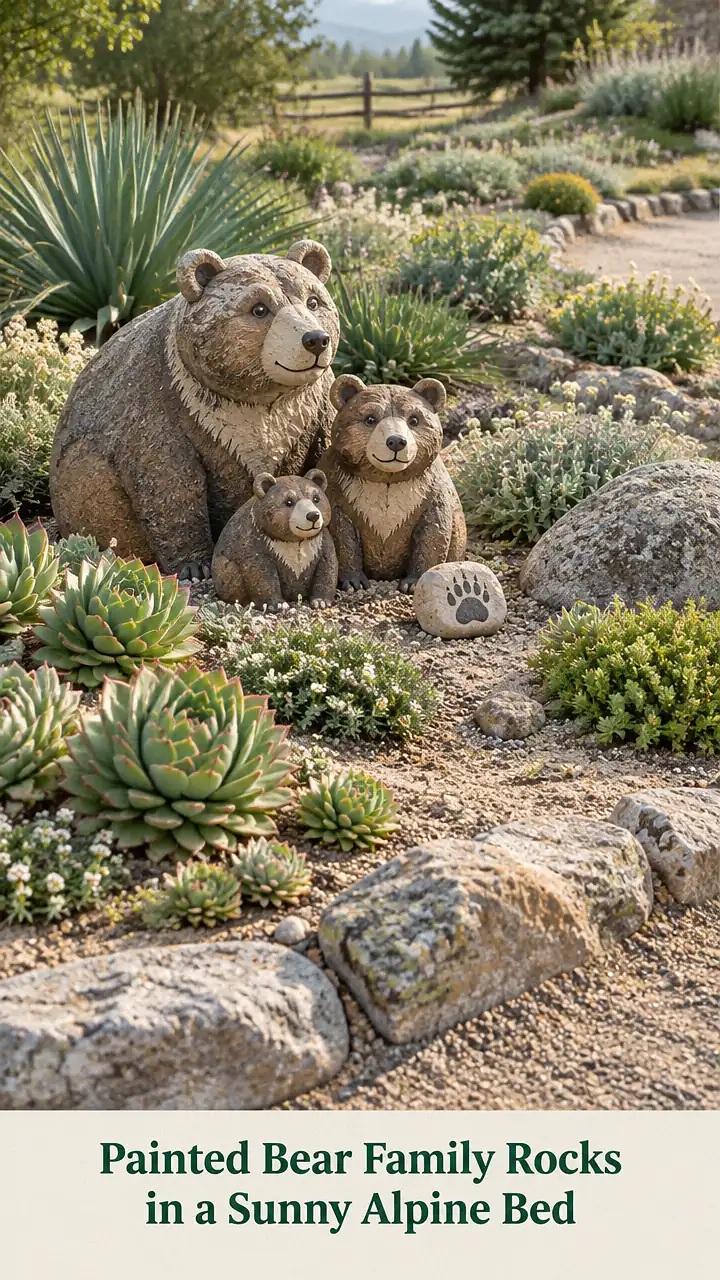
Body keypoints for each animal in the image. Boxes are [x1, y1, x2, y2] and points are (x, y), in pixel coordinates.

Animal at [49, 240, 340, 581]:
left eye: (313, 301)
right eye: (259, 309)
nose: (316, 339)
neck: (257, 401)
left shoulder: (313, 405)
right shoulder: (164, 402)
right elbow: (170, 481)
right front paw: (194, 565)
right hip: (79, 468)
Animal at [212, 470, 337, 611]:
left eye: (316, 498)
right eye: (288, 501)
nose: (313, 515)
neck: (295, 541)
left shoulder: (320, 541)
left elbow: (328, 568)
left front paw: (321, 602)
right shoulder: (256, 540)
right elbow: (259, 572)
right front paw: (279, 604)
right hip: (223, 568)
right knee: (230, 573)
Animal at [317, 375, 466, 592]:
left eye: (414, 419)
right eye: (370, 418)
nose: (396, 441)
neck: (388, 479)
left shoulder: (429, 492)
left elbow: (434, 534)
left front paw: (413, 583)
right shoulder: (340, 489)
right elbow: (341, 536)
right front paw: (354, 582)